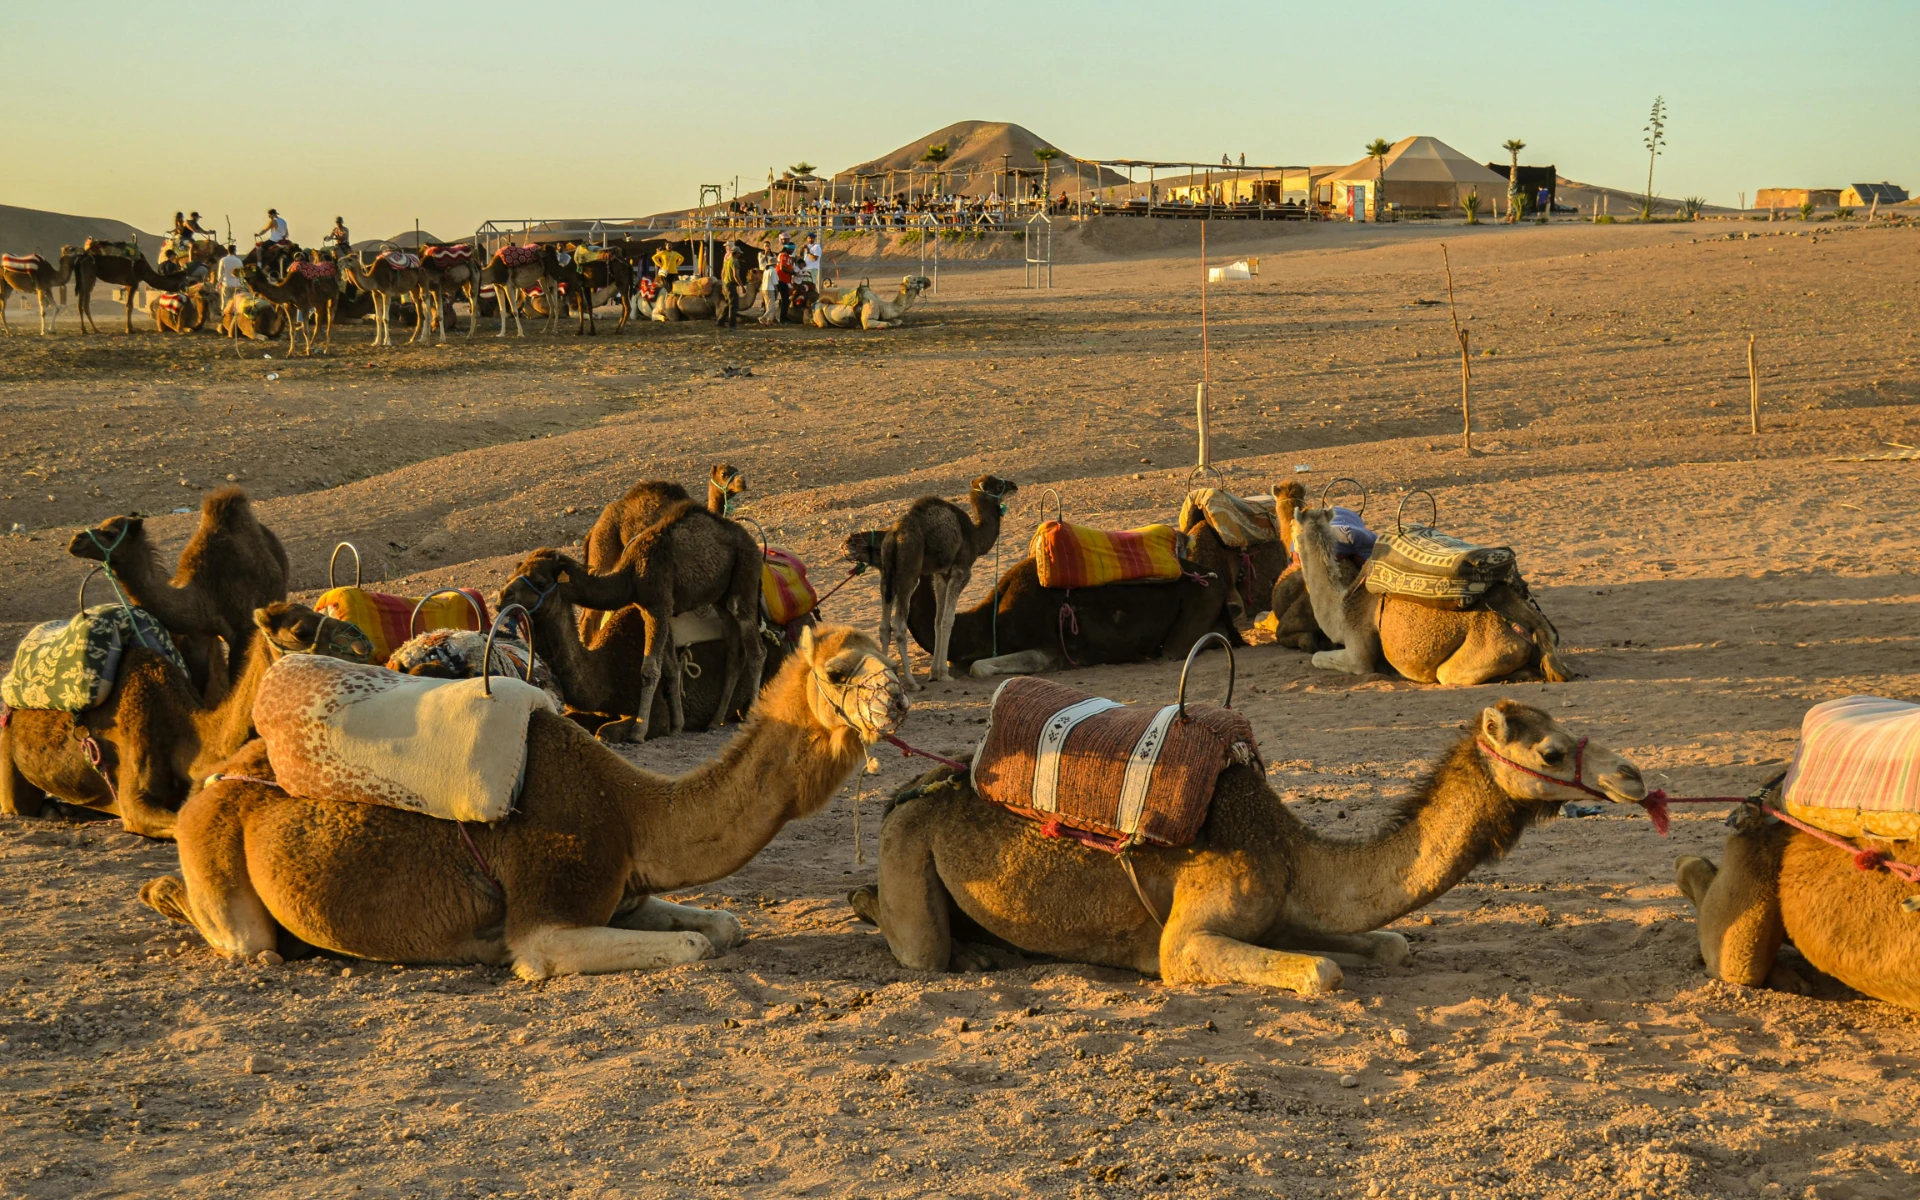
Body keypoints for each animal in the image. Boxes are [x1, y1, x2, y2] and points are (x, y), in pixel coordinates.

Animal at [137, 625, 908, 977]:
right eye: (841, 669)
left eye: (887, 653)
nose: (899, 698)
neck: (632, 813)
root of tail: (213, 782)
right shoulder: (548, 909)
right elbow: (690, 945)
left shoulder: (621, 892)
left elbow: (723, 925)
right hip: (221, 864)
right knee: (246, 940)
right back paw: (166, 897)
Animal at [851, 700, 1646, 992]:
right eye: (1551, 750)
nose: (1633, 778)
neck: (1292, 852)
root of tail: (910, 789)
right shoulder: (1188, 939)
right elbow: (1323, 971)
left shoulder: (1282, 911)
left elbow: (1389, 945)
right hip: (905, 845)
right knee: (913, 941)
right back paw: (964, 953)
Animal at [876, 475, 1017, 690]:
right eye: (999, 485)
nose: (1014, 485)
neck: (975, 537)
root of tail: (894, 537)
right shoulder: (961, 570)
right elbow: (948, 619)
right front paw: (943, 674)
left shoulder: (941, 574)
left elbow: (938, 619)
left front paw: (936, 672)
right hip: (909, 572)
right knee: (899, 625)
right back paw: (911, 683)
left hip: (887, 574)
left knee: (884, 626)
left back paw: (888, 677)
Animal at [1292, 505, 1572, 685]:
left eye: (1293, 527)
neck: (1341, 608)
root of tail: (1536, 627)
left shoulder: (1358, 651)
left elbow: (1318, 658)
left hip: (1479, 656)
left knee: (1447, 674)